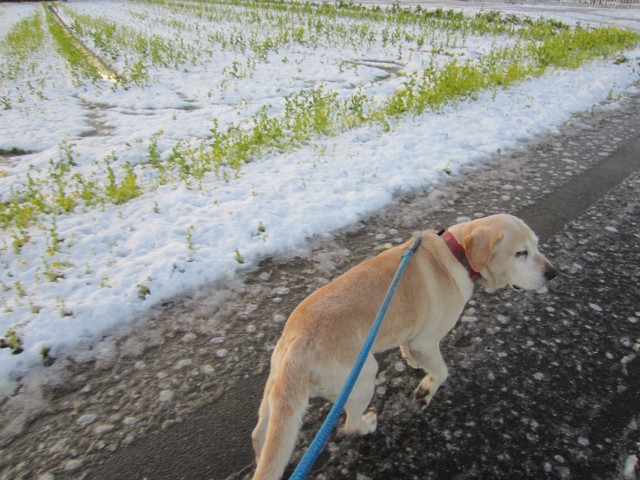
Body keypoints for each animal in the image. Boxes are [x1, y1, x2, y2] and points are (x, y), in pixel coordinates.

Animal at [252, 215, 556, 480]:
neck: (456, 252)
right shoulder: (427, 341)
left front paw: (412, 363)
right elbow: (441, 372)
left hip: (276, 394)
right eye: (521, 253)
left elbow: (409, 349)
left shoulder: (414, 336)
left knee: (260, 435)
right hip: (362, 377)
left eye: (537, 244)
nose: (553, 273)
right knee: (350, 426)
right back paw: (368, 424)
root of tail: (298, 343)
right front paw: (424, 392)